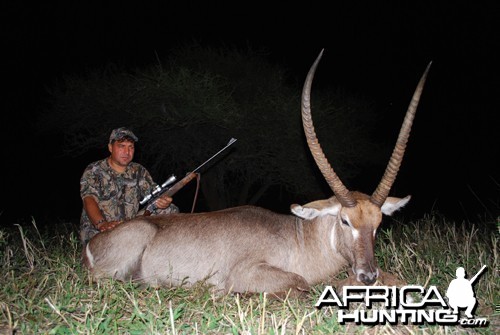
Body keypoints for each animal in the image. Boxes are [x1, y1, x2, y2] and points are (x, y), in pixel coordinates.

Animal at [84, 50, 432, 296]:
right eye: (345, 221)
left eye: (379, 223)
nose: (368, 276)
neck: (298, 237)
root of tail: (92, 245)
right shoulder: (250, 272)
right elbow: (301, 284)